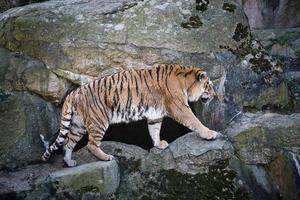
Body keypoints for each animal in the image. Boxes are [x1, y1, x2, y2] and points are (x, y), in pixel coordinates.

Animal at [41, 64, 218, 167]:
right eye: (209, 86)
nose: (215, 95)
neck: (186, 82)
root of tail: (73, 93)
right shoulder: (179, 107)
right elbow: (194, 121)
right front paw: (210, 133)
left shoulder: (155, 114)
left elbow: (154, 130)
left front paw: (158, 144)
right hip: (99, 121)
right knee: (91, 144)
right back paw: (106, 157)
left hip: (78, 125)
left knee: (67, 143)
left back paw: (69, 162)